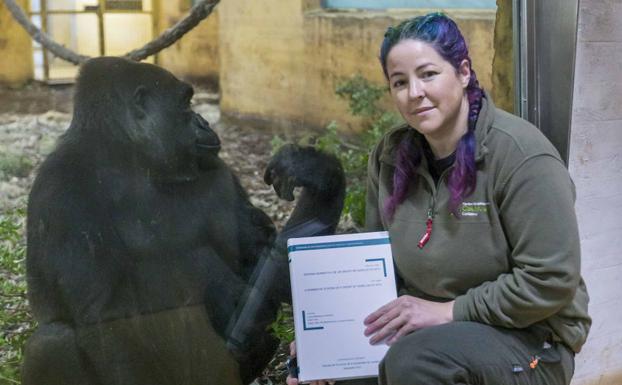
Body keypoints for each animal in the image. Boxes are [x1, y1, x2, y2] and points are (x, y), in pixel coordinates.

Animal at [20, 56, 346, 384]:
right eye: (186, 103)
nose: (204, 121)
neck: (127, 157)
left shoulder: (218, 171)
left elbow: (265, 262)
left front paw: (318, 173)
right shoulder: (60, 190)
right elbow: (101, 314)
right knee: (51, 342)